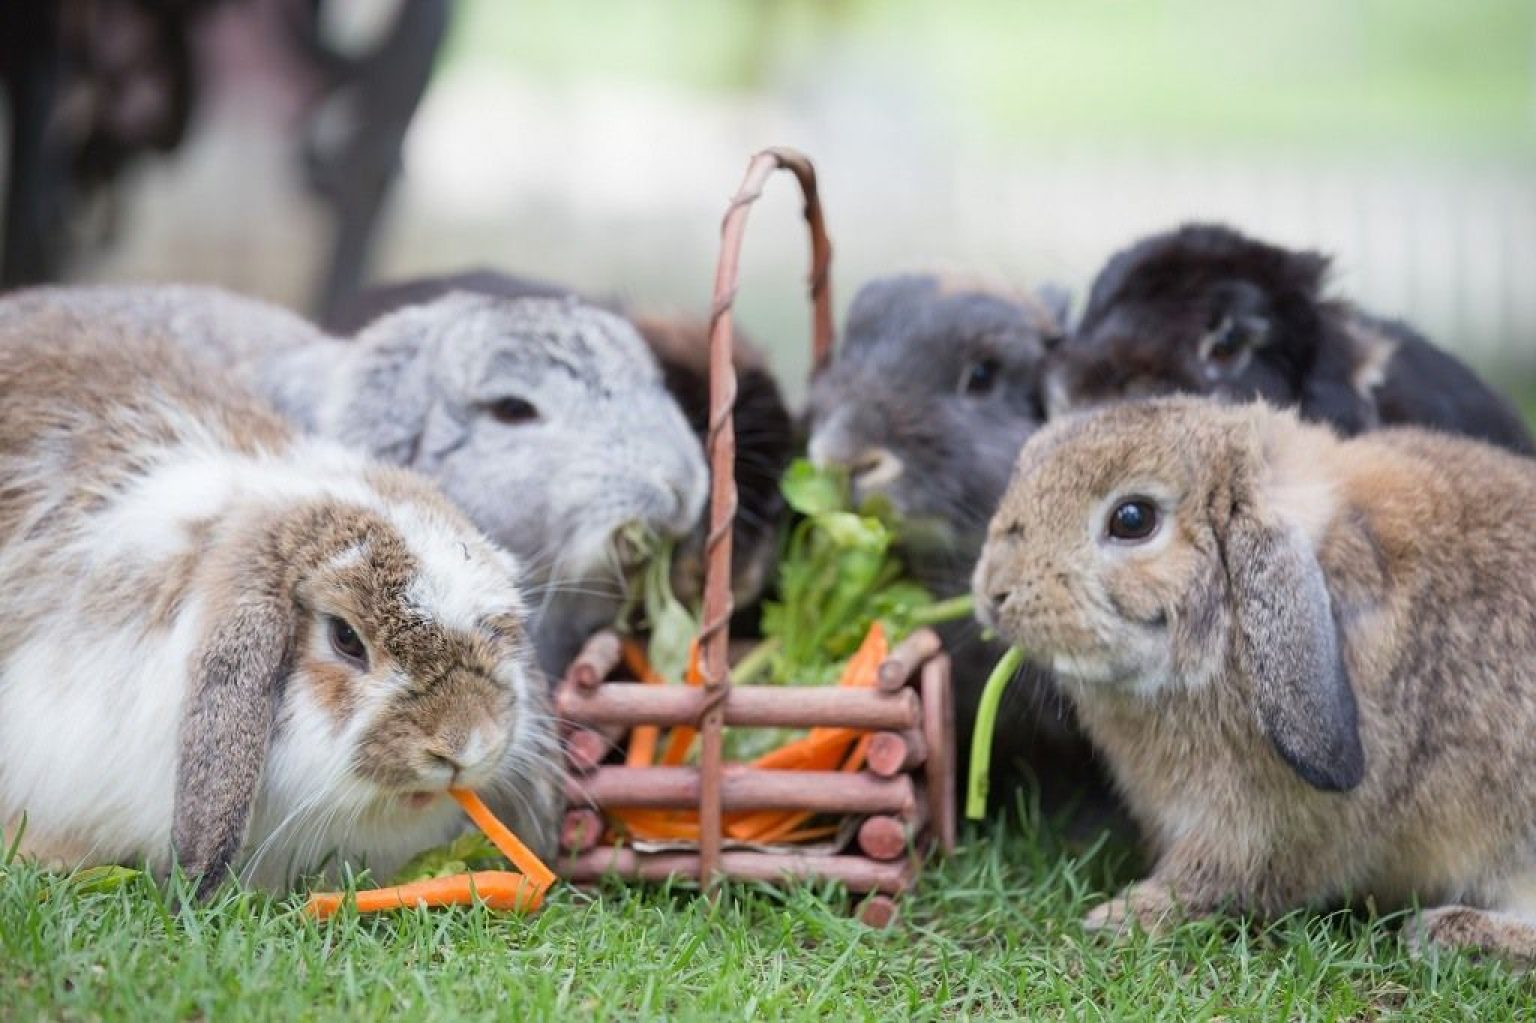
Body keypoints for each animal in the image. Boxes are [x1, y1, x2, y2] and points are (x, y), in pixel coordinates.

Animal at [974, 394, 1536, 964]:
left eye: (1132, 519)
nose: (993, 591)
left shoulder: (1265, 830)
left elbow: (1218, 882)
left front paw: (1121, 918)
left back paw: (1450, 932)